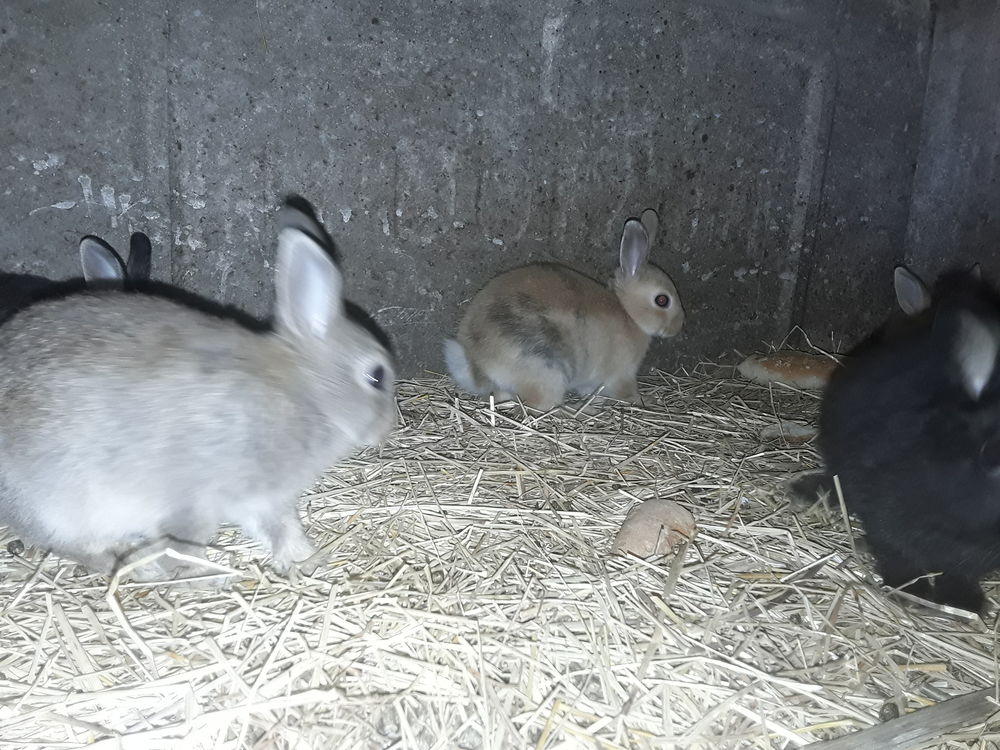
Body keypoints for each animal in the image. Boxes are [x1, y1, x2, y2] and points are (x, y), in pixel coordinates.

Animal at [444, 208, 684, 411]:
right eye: (662, 300)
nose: (677, 327)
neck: (630, 314)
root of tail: (478, 364)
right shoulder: (621, 375)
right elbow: (625, 393)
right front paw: (643, 401)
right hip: (547, 370)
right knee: (538, 405)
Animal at [813, 269, 1000, 612]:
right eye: (988, 454)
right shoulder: (882, 513)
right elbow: (895, 552)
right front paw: (910, 591)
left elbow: (960, 572)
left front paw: (964, 602)